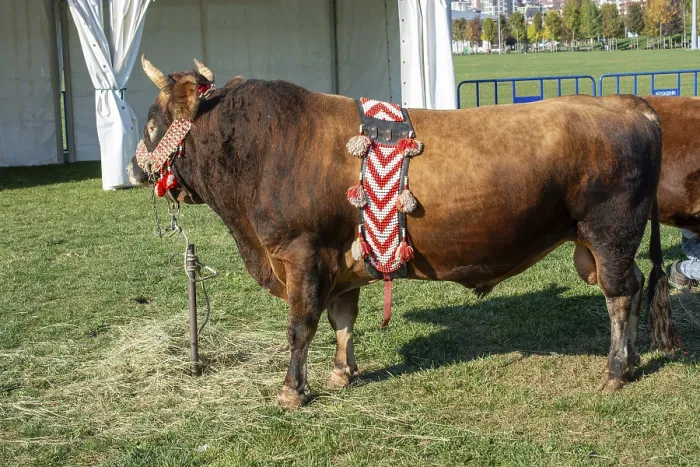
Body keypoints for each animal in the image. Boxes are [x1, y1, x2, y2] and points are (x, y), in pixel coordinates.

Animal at [128, 57, 676, 408]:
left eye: (152, 123)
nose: (133, 169)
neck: (265, 148)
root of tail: (629, 103)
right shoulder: (339, 260)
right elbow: (342, 320)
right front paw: (342, 373)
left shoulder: (301, 253)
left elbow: (300, 325)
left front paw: (291, 391)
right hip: (602, 241)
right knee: (627, 291)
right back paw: (628, 364)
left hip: (609, 233)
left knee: (619, 297)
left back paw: (614, 371)